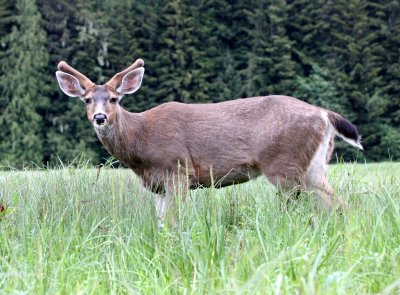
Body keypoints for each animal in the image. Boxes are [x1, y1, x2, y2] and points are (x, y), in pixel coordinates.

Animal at [54, 59, 364, 225]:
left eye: (114, 99)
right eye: (87, 100)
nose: (100, 117)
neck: (140, 145)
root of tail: (325, 114)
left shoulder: (177, 169)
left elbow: (175, 219)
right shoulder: (158, 185)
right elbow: (161, 222)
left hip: (284, 165)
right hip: (314, 167)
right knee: (339, 203)